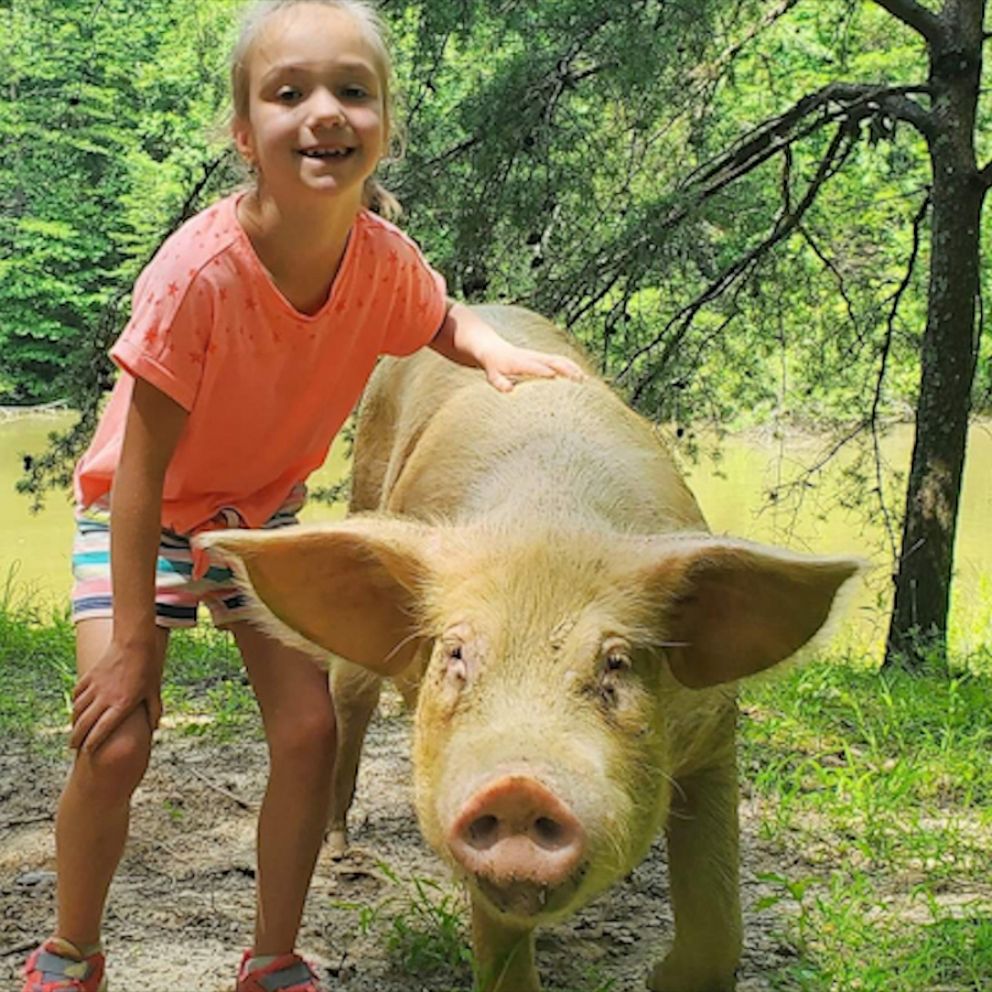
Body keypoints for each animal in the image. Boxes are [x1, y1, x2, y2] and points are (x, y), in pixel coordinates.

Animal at [198, 306, 856, 992]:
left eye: (615, 664)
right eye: (456, 656)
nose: (518, 786)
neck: (549, 523)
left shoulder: (715, 727)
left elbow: (718, 914)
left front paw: (661, 977)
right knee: (348, 702)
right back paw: (341, 850)